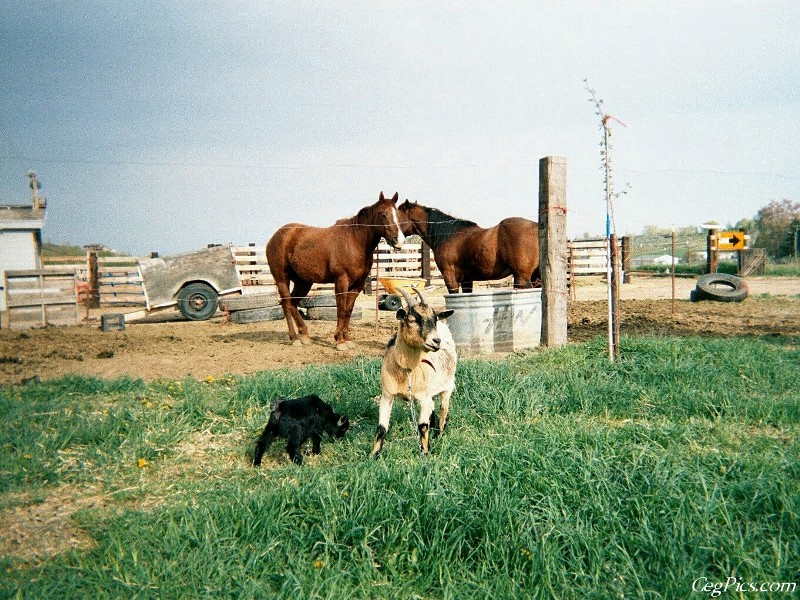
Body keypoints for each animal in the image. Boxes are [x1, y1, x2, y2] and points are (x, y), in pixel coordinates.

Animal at [268, 192, 406, 350]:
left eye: (397, 214)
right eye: (383, 214)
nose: (399, 241)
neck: (354, 241)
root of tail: (276, 236)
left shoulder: (357, 285)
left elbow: (348, 311)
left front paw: (346, 339)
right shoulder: (341, 281)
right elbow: (341, 310)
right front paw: (339, 341)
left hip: (303, 283)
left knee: (292, 304)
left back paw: (305, 335)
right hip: (282, 279)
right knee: (286, 304)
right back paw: (294, 338)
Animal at [368, 288, 456, 458]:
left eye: (434, 319)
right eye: (412, 319)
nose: (436, 341)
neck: (407, 370)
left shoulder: (424, 397)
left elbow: (422, 426)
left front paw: (425, 452)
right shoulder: (387, 395)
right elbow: (381, 428)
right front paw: (373, 455)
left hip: (448, 387)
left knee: (443, 411)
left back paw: (440, 434)